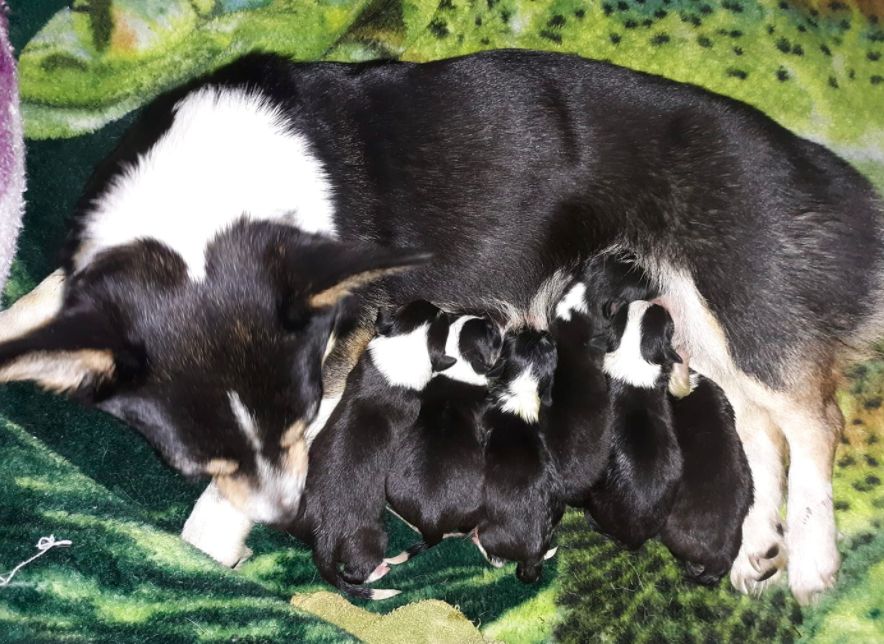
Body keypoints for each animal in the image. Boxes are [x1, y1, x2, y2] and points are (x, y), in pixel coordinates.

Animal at [284, 300, 453, 600]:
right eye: (442, 319)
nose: (439, 306)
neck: (404, 344)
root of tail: (323, 538)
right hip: (371, 538)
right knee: (356, 572)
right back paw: (380, 571)